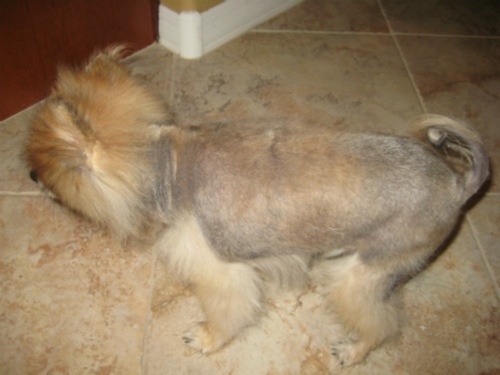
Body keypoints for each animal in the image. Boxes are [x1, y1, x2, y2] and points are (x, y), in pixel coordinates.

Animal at [25, 45, 490, 366]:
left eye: (46, 169)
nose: (28, 176)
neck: (169, 169)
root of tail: (457, 182)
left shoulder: (223, 273)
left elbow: (226, 314)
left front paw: (208, 339)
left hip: (359, 277)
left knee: (384, 323)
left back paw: (353, 352)